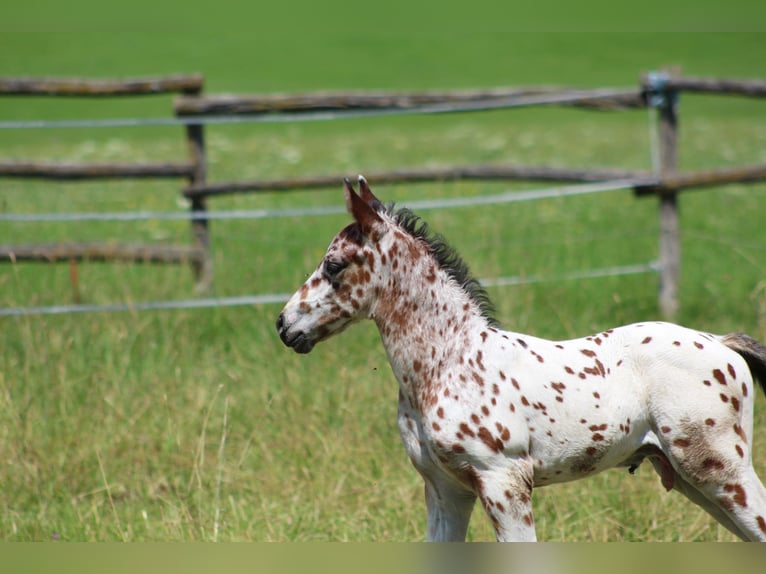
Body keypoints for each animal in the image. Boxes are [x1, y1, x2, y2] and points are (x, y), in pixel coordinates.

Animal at [280, 178, 766, 544]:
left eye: (334, 265)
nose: (284, 324)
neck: (449, 362)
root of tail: (720, 342)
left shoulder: (504, 481)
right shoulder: (444, 489)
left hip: (721, 470)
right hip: (691, 479)